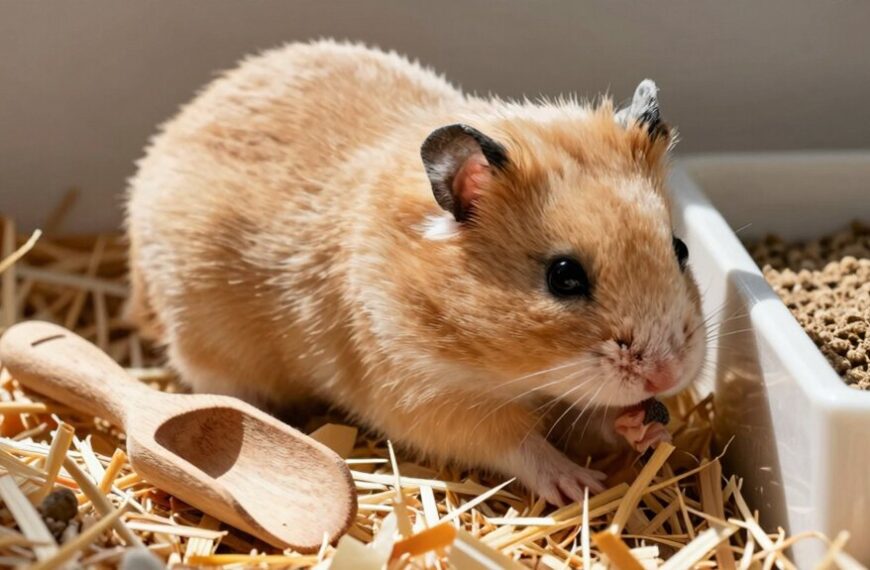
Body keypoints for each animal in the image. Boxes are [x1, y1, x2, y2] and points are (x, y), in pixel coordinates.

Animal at [125, 40, 706, 505]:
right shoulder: (426, 397)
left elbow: (597, 418)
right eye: (563, 277)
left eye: (680, 248)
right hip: (209, 353)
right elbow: (518, 444)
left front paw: (647, 428)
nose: (669, 374)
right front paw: (579, 486)